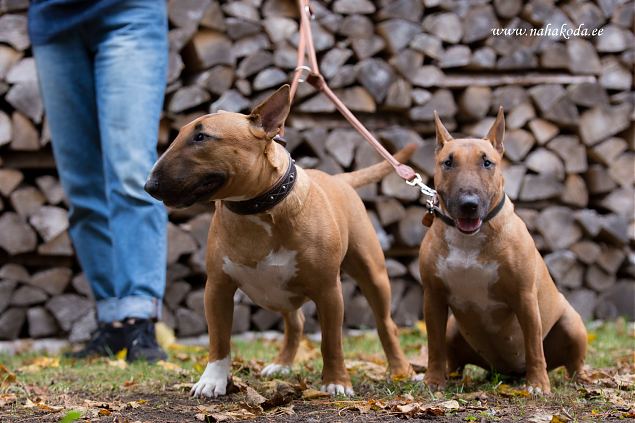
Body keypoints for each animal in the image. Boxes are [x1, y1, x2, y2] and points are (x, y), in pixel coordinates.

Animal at [145, 85, 414, 398]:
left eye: (201, 137)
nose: (149, 186)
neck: (258, 209)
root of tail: (340, 178)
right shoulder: (217, 287)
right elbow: (219, 339)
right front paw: (212, 381)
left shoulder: (329, 290)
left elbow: (332, 340)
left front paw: (337, 381)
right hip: (281, 290)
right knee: (295, 323)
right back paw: (282, 364)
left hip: (372, 273)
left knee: (385, 324)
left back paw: (400, 370)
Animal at [420, 108, 588, 394]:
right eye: (448, 162)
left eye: (487, 162)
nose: (468, 204)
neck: (469, 240)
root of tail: (508, 372)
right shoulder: (433, 297)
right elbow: (434, 345)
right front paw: (433, 381)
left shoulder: (525, 297)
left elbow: (534, 345)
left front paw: (538, 385)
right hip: (454, 330)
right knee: (453, 358)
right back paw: (450, 377)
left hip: (572, 324)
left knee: (571, 363)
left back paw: (579, 381)